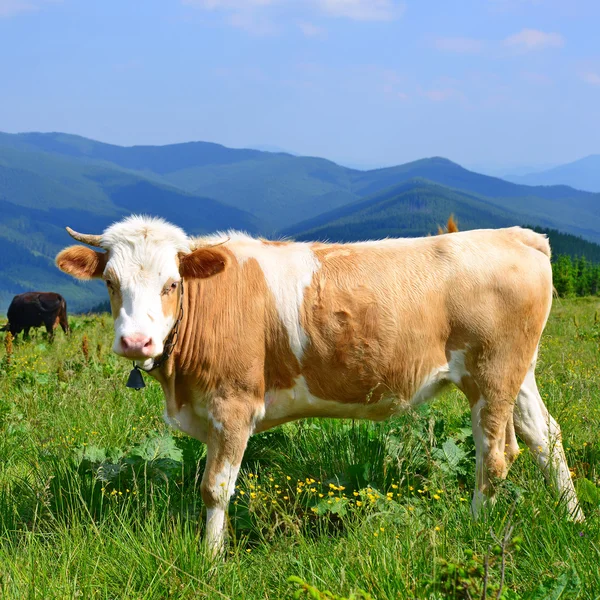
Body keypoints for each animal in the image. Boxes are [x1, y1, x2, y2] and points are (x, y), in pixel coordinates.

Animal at [55, 214, 580, 552]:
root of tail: (515, 235)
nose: (136, 341)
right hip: (518, 371)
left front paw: (210, 561)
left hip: (490, 372)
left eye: (172, 284)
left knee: (496, 456)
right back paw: (573, 516)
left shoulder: (234, 403)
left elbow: (215, 489)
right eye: (110, 283)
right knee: (546, 436)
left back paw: (473, 530)